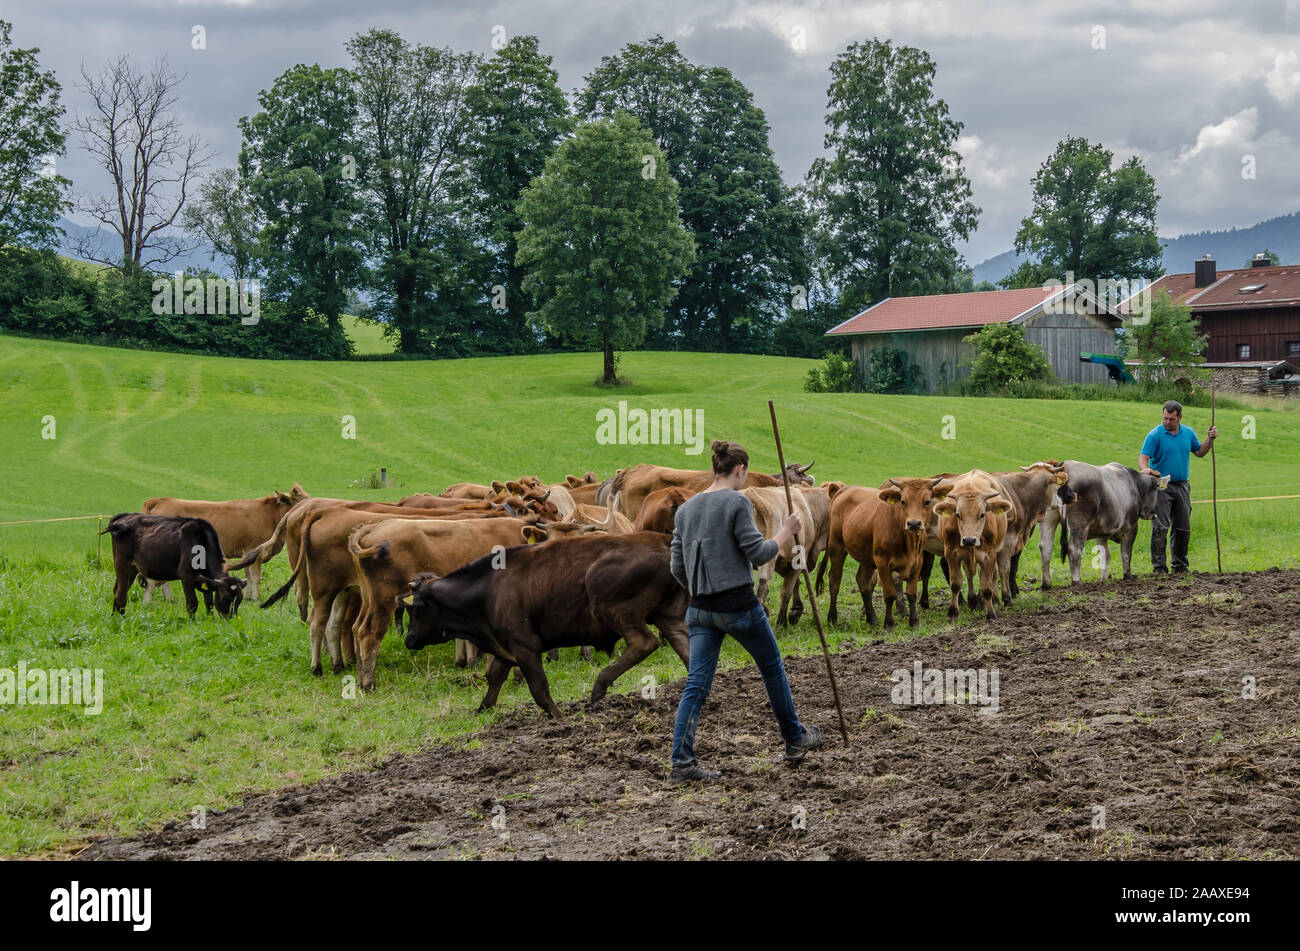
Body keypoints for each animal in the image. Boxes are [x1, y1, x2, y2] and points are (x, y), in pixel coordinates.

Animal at [140, 485, 309, 597]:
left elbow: (248, 575)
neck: (269, 516)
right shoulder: (255, 551)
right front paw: (255, 599)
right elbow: (255, 578)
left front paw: (248, 598)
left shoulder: (246, 553)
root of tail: (161, 500)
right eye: (301, 501)